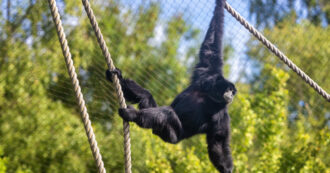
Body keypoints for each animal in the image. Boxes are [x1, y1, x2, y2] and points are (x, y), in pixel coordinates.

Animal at [105, 0, 235, 172]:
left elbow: (218, 142)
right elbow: (211, 47)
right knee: (148, 97)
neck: (210, 96)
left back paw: (131, 114)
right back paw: (118, 79)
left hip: (172, 135)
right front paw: (220, 4)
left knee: (168, 113)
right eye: (230, 90)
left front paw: (228, 169)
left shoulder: (222, 115)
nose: (232, 95)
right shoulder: (207, 73)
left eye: (233, 92)